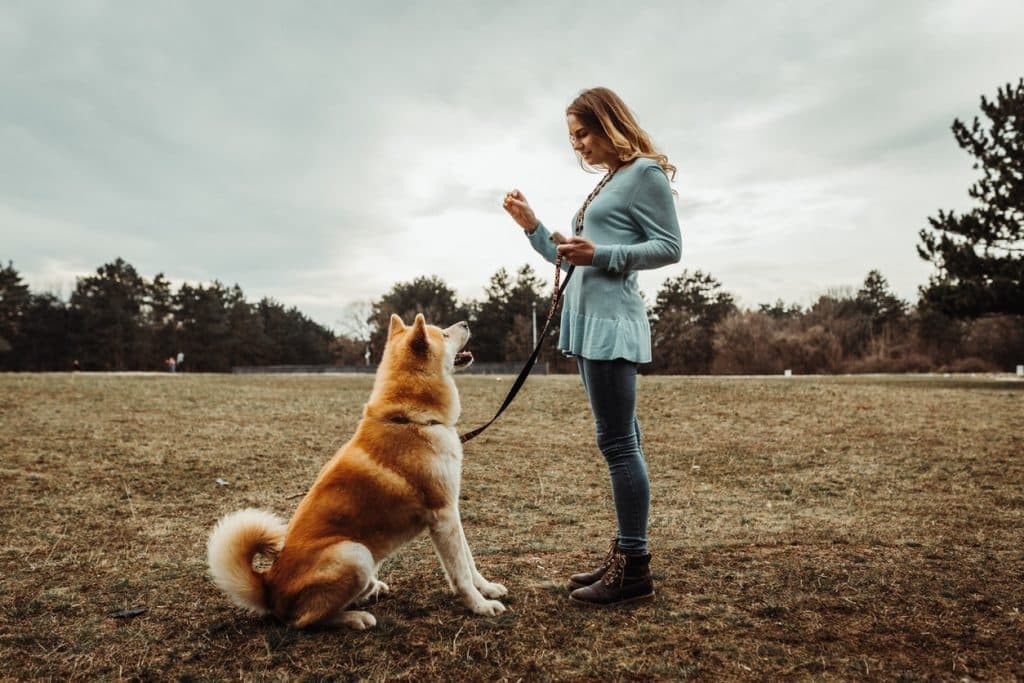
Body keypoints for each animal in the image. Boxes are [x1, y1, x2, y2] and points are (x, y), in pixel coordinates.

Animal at [206, 315, 507, 630]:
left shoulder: (452, 512)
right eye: (444, 334)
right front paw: (480, 606)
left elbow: (469, 561)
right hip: (355, 554)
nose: (466, 322)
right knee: (304, 620)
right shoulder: (443, 515)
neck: (409, 419)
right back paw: (355, 616)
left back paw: (371, 590)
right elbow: (461, 573)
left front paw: (487, 589)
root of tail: (269, 587)